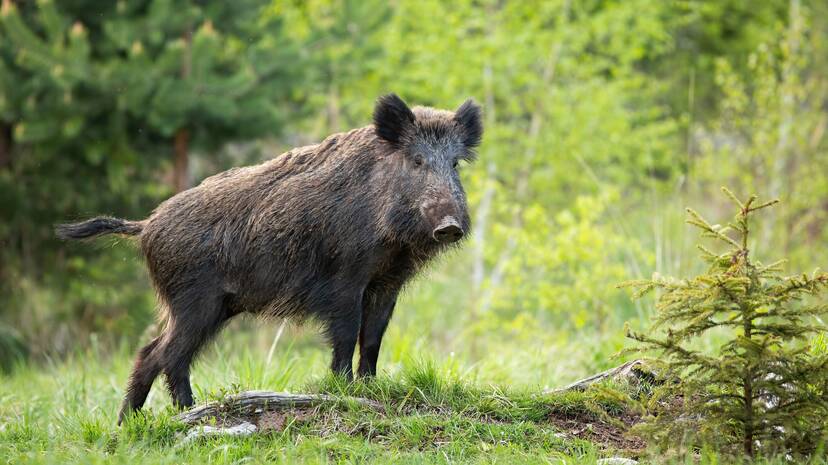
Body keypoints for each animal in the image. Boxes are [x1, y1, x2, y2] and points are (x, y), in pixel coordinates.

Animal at [57, 94, 482, 423]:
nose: (449, 225)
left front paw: (370, 388)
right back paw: (190, 411)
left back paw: (127, 424)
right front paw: (343, 391)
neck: (391, 241)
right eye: (416, 160)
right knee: (168, 354)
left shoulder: (386, 284)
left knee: (150, 353)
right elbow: (347, 335)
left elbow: (374, 338)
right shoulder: (344, 280)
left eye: (455, 163)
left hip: (209, 306)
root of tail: (145, 225)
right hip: (195, 300)